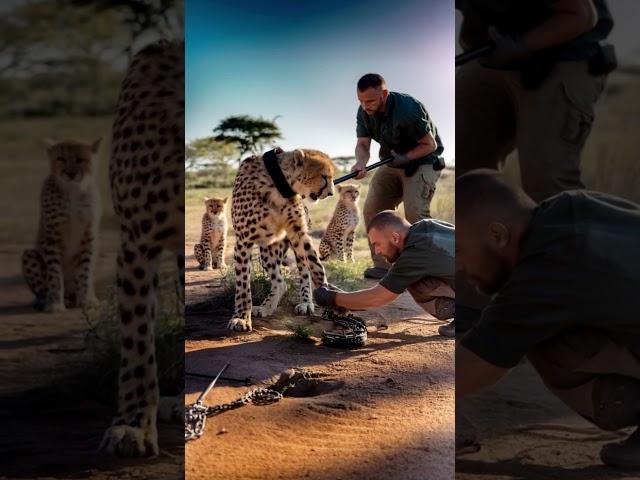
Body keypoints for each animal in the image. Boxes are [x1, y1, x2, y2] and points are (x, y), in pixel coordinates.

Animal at [22, 139, 101, 314]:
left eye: (80, 159)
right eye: (61, 159)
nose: (70, 173)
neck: (73, 189)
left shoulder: (88, 236)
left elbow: (86, 271)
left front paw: (87, 301)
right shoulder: (52, 237)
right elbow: (54, 274)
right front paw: (55, 304)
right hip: (29, 255)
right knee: (42, 290)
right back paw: (46, 301)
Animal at [230, 148, 338, 332]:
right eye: (324, 176)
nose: (331, 193)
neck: (280, 186)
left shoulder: (298, 233)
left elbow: (315, 265)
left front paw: (324, 291)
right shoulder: (243, 240)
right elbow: (243, 283)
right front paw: (241, 318)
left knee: (302, 272)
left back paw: (306, 303)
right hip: (267, 250)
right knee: (280, 282)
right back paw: (266, 307)